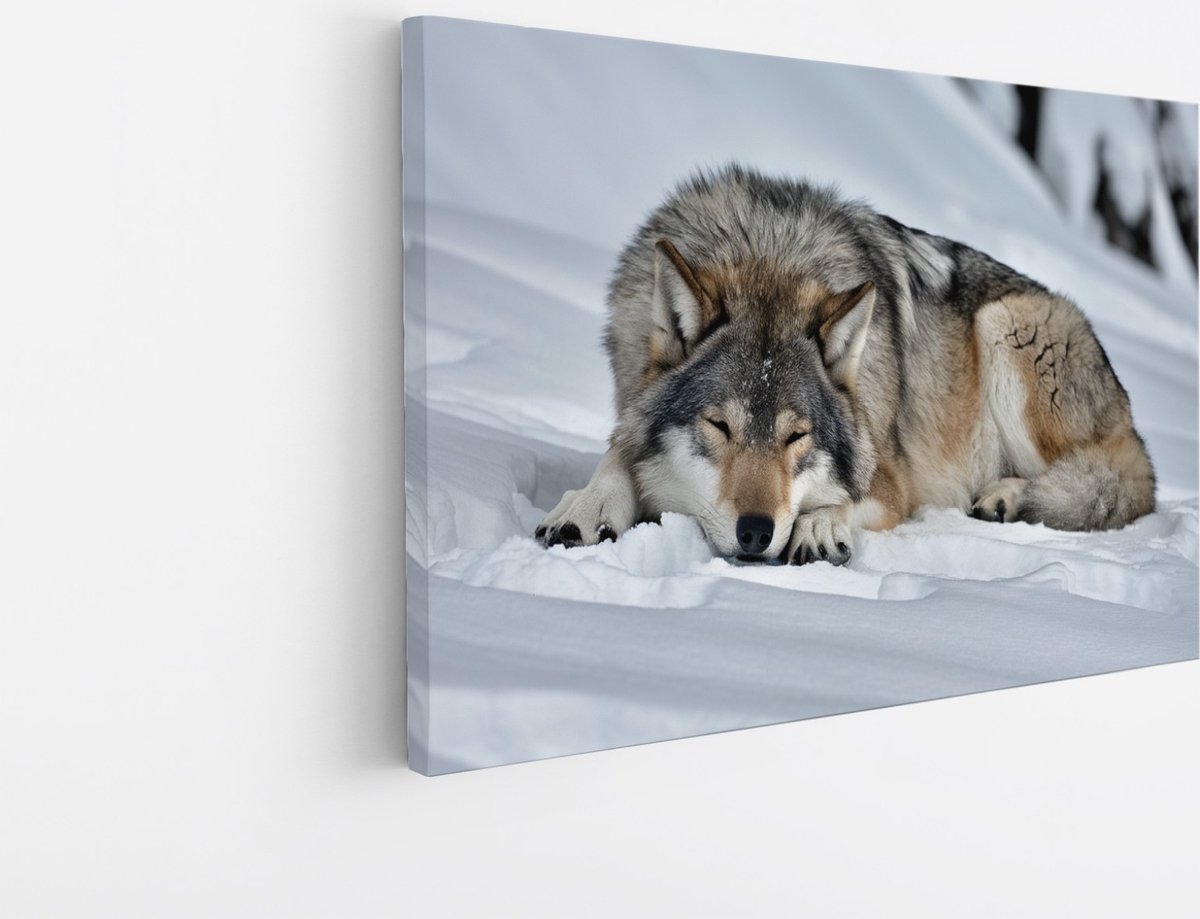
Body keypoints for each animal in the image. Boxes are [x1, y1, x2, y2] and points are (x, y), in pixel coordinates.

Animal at [536, 164, 1155, 564]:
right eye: (720, 426)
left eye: (796, 437)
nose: (756, 532)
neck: (770, 252)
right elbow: (620, 454)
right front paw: (587, 506)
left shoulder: (891, 478)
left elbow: (847, 495)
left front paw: (816, 524)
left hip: (1005, 326)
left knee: (1106, 485)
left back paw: (1008, 497)